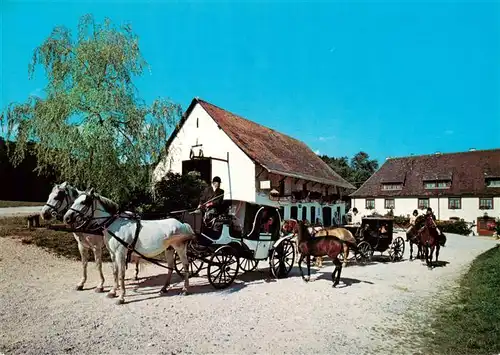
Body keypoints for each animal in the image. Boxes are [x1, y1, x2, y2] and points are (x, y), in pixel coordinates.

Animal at [63, 189, 195, 306]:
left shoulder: (120, 253)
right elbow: (115, 272)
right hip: (169, 249)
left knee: (185, 265)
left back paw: (185, 290)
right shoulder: (112, 254)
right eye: (74, 200)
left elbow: (121, 274)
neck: (114, 225)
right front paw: (112, 292)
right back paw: (164, 288)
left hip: (180, 248)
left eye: (84, 202)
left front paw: (121, 298)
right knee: (170, 267)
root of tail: (182, 224)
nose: (66, 218)